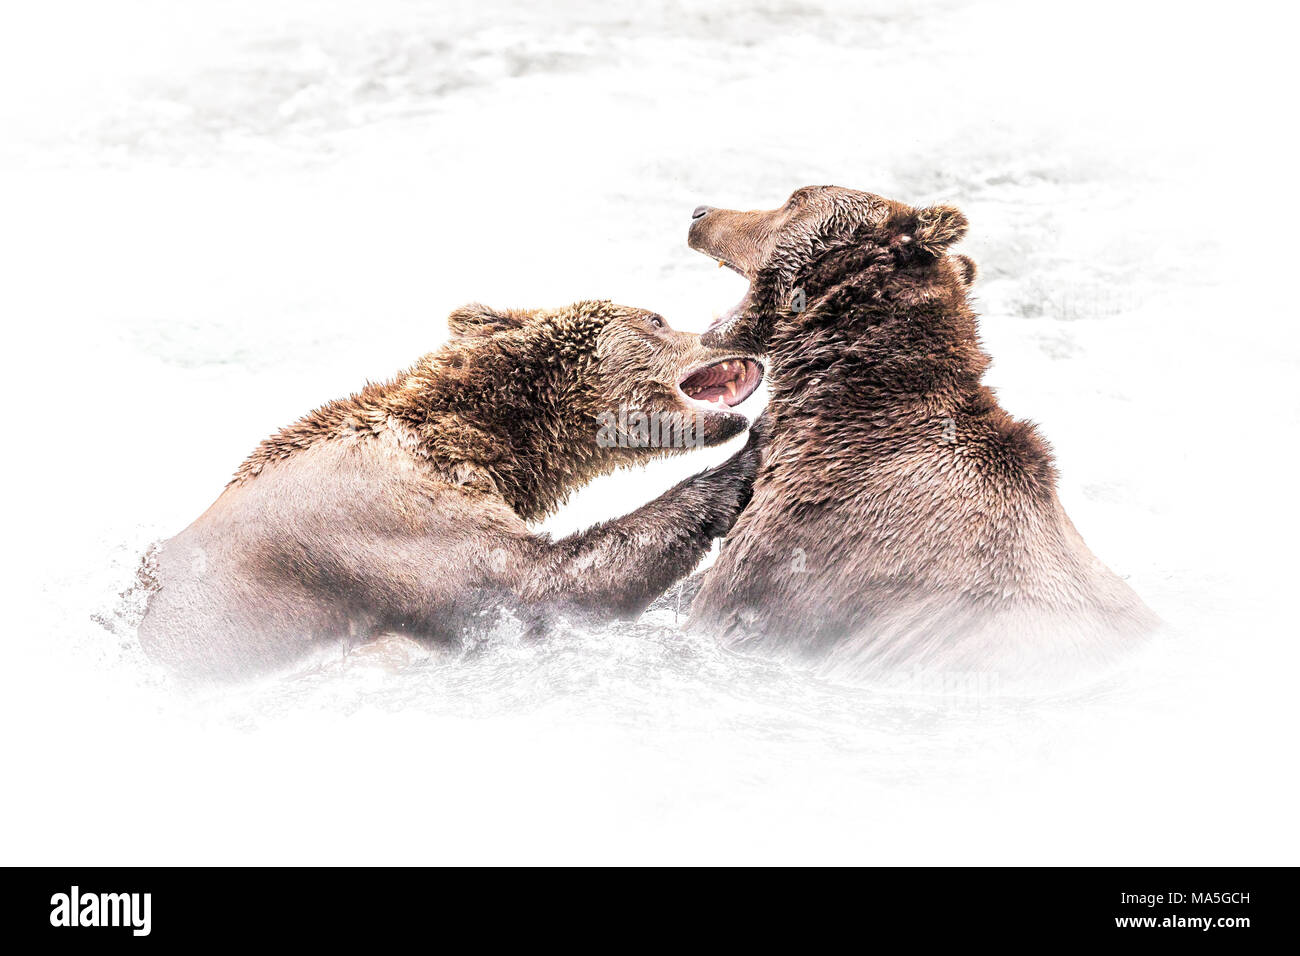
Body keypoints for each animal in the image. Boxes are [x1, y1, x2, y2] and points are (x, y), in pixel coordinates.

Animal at [139, 299, 769, 681]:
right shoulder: (378, 511)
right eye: (655, 318)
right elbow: (535, 584)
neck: (479, 433)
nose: (732, 334)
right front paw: (746, 459)